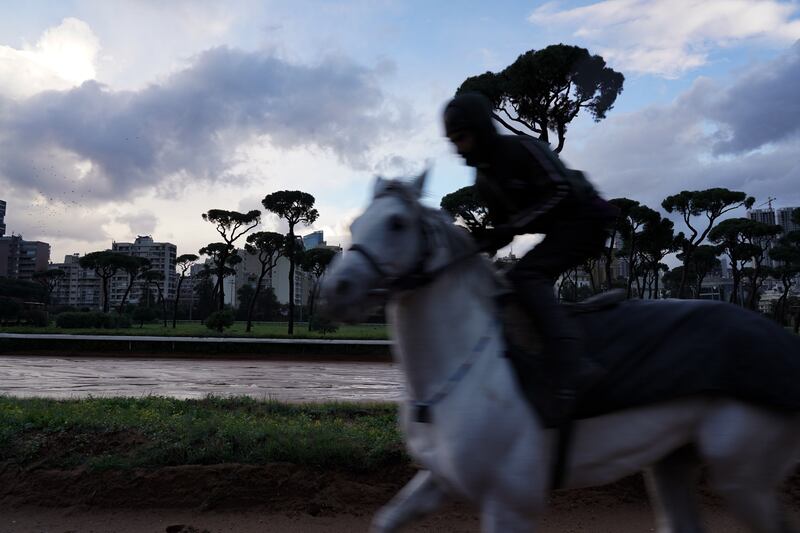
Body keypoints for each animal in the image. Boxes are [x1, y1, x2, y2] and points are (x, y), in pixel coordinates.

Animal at [318, 172, 800, 528]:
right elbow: (386, 520)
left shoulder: (509, 503)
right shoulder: (438, 478)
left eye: (397, 224)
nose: (334, 290)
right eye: (356, 223)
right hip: (673, 462)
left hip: (742, 474)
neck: (460, 372)